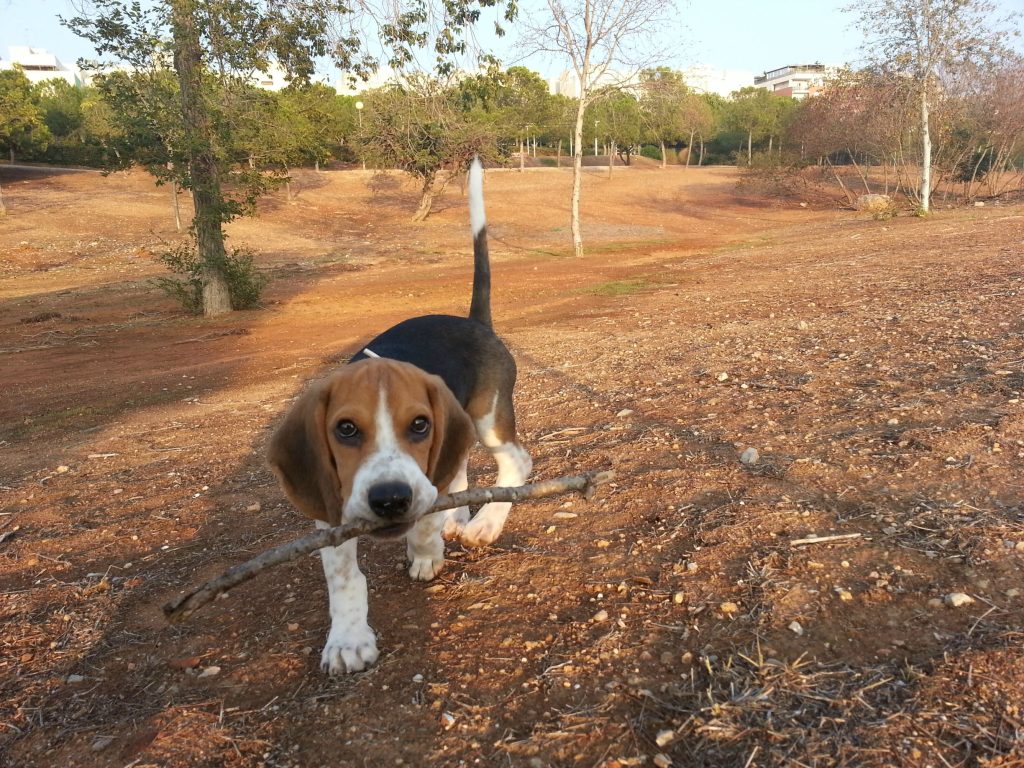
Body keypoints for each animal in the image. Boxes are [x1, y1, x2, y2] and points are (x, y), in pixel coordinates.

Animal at [268, 159, 532, 675]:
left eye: (418, 424)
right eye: (345, 430)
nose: (390, 500)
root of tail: (475, 322)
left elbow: (425, 521)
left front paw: (427, 553)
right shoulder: (331, 510)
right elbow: (343, 576)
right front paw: (347, 640)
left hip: (489, 417)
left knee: (517, 462)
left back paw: (484, 523)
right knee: (459, 469)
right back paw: (459, 515)